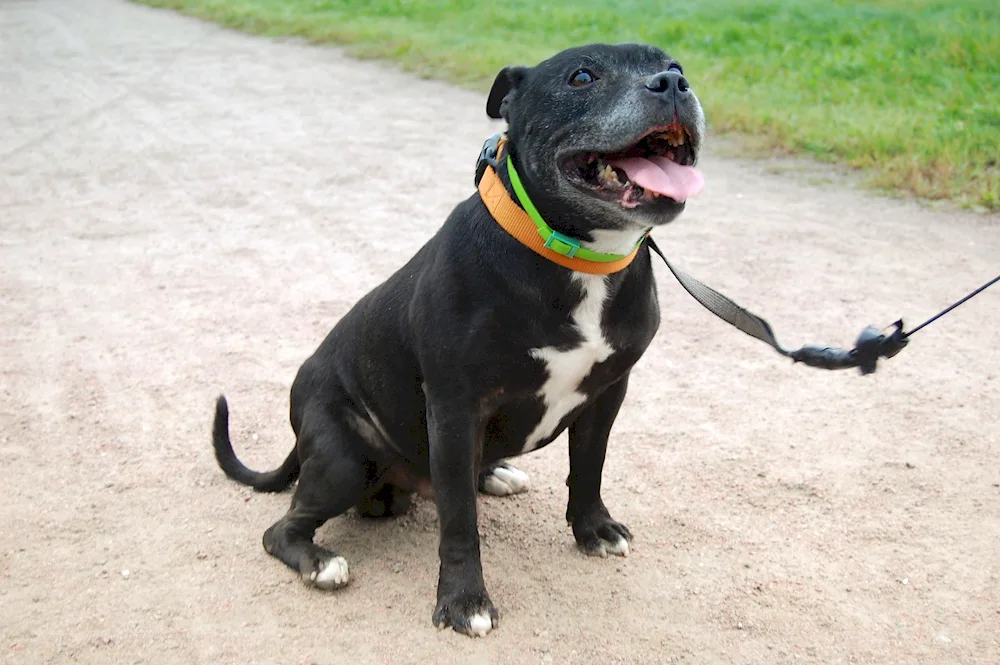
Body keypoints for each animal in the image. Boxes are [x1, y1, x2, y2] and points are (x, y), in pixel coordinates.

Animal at [215, 42, 708, 640]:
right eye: (582, 77)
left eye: (676, 67)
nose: (672, 85)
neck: (578, 256)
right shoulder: (453, 408)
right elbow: (459, 523)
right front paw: (463, 601)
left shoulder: (608, 392)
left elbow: (588, 468)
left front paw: (593, 529)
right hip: (342, 457)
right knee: (282, 528)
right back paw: (319, 562)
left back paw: (493, 473)